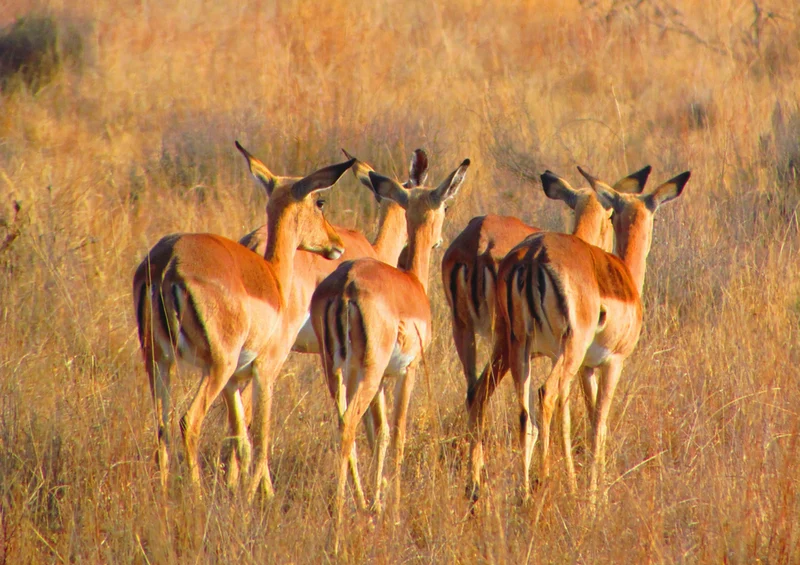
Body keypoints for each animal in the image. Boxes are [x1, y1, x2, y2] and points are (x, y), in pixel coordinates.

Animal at [133, 142, 354, 498]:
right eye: (320, 201)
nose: (337, 244)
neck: (273, 279)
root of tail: (167, 262)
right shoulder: (264, 370)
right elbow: (260, 438)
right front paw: (259, 497)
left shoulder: (236, 379)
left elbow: (241, 440)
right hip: (216, 366)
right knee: (188, 421)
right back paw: (196, 495)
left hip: (158, 360)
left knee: (162, 425)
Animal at [310, 158, 470, 551]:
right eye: (445, 205)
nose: (440, 240)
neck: (412, 283)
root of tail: (346, 287)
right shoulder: (406, 372)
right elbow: (397, 434)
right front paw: (393, 511)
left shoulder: (382, 379)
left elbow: (379, 433)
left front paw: (377, 504)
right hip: (366, 373)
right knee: (349, 425)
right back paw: (338, 527)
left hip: (336, 372)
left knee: (344, 424)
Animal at [443, 166, 652, 409]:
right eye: (611, 217)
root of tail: (481, 244)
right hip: (506, 343)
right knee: (483, 393)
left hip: (463, 330)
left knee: (472, 393)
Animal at [467, 167, 691, 503]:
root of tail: (532, 255)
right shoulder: (613, 363)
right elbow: (598, 424)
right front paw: (595, 496)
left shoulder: (587, 368)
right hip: (566, 349)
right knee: (545, 395)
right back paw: (543, 483)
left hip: (516, 348)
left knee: (513, 411)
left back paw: (512, 491)